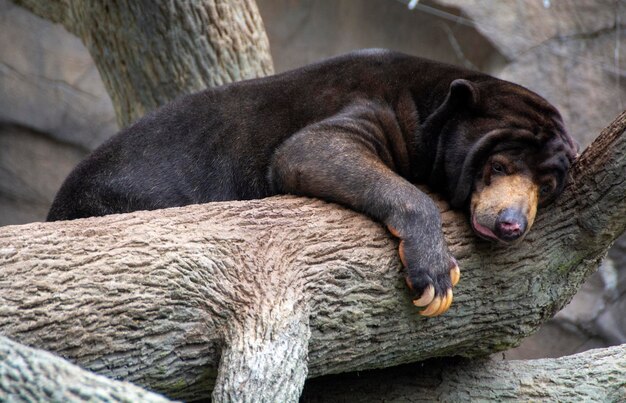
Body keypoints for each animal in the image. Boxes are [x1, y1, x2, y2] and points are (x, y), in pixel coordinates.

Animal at [47, 49, 576, 316]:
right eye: (499, 166)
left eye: (547, 186)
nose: (510, 224)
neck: (430, 101)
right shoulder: (373, 102)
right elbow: (308, 151)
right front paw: (436, 282)